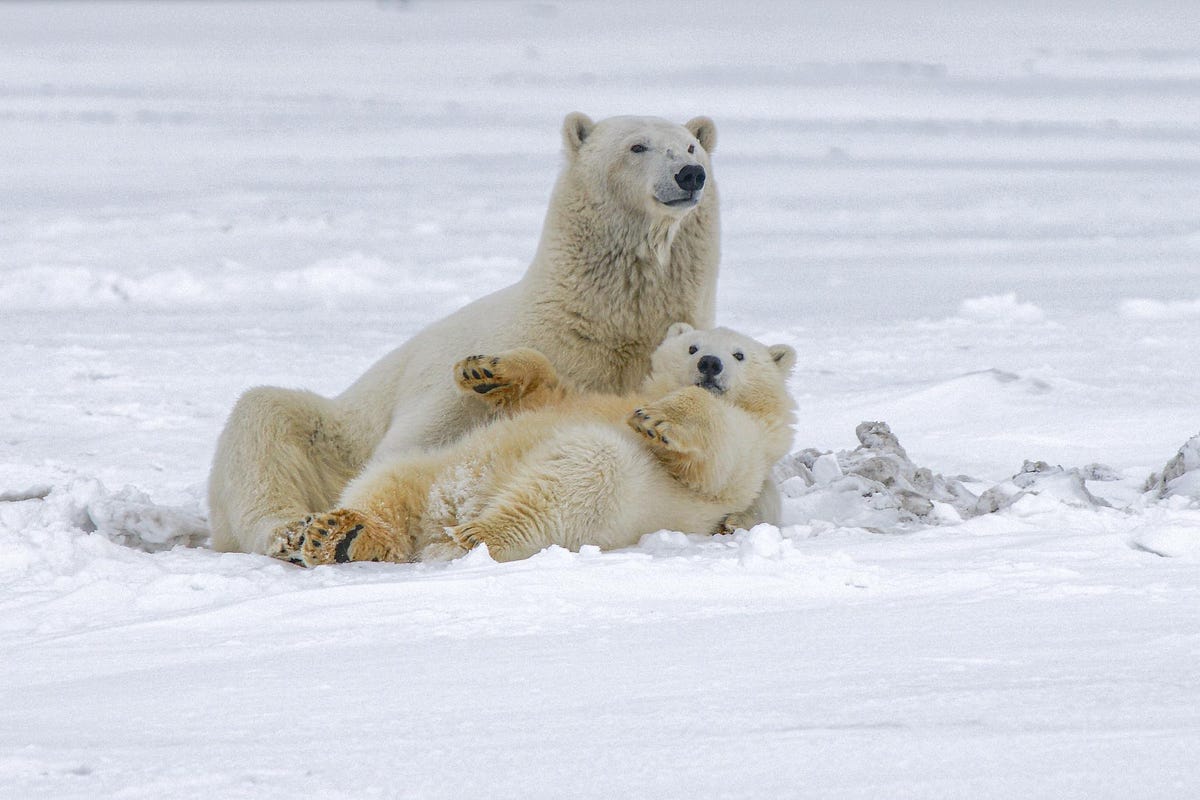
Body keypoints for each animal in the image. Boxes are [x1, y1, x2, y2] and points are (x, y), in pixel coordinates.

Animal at [208, 109, 768, 554]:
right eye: (637, 145)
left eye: (692, 145)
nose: (690, 174)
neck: (599, 322)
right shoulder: (483, 374)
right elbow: (417, 443)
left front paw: (736, 518)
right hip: (335, 436)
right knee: (263, 419)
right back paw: (289, 530)